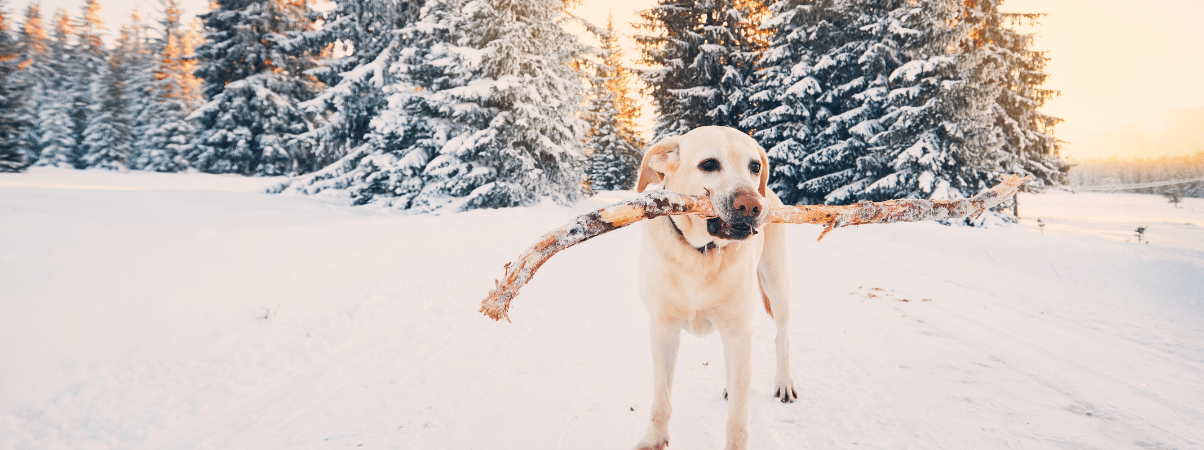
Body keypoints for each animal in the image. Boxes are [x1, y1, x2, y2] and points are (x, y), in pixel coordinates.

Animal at [635, 126, 794, 450]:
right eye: (709, 164)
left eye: (754, 166)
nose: (751, 205)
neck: (701, 253)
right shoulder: (663, 330)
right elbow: (661, 401)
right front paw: (654, 440)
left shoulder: (739, 329)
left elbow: (738, 421)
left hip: (777, 284)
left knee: (782, 336)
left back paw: (783, 383)